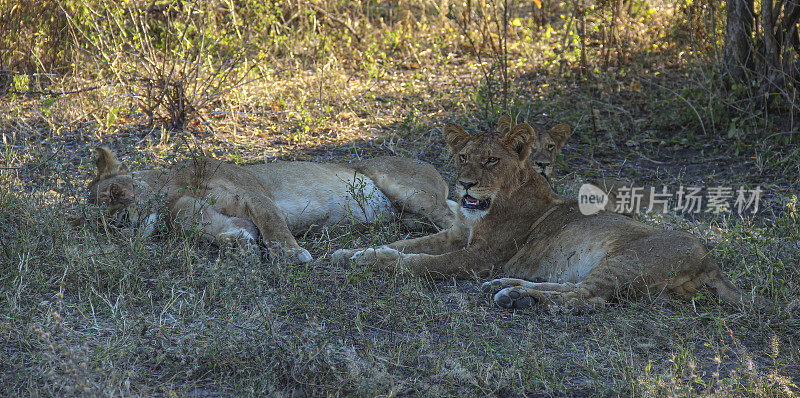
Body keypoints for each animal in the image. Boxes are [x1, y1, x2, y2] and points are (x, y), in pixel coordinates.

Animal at [83, 148, 456, 262]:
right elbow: (227, 228)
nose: (121, 221)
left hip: (404, 186)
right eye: (104, 223)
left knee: (455, 220)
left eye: (115, 192)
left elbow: (271, 222)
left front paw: (291, 253)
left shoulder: (253, 192)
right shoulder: (191, 214)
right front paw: (239, 245)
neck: (174, 188)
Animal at [332, 116, 764, 310]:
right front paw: (353, 252)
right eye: (463, 157)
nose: (466, 185)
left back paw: (514, 297)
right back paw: (507, 287)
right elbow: (410, 243)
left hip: (626, 260)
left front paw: (375, 263)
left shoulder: (480, 256)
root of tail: (711, 258)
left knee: (587, 298)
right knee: (574, 289)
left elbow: (420, 262)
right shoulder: (457, 235)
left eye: (491, 161)